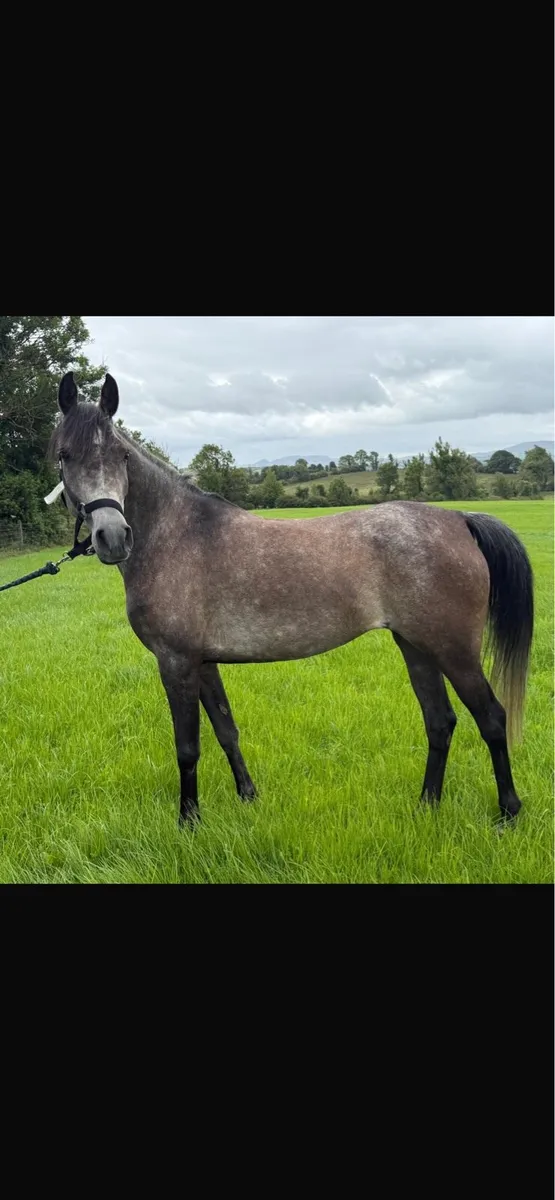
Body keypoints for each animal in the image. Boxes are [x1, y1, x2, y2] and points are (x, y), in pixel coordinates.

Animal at [49, 371, 534, 826]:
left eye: (122, 457)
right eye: (64, 455)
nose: (113, 537)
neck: (179, 537)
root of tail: (459, 519)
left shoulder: (176, 662)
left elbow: (187, 747)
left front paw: (188, 821)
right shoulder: (202, 662)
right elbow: (226, 730)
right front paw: (248, 797)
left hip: (454, 651)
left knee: (492, 719)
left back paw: (508, 813)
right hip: (415, 646)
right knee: (440, 721)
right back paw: (426, 806)